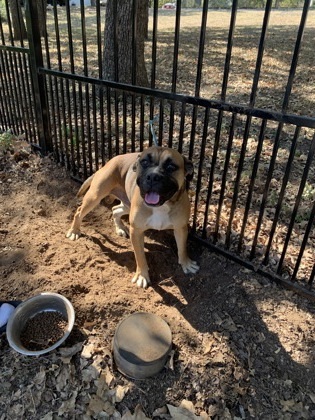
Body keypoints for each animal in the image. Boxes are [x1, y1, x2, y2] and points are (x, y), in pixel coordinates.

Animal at [66, 146, 200, 288]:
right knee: (79, 212)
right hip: (94, 197)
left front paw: (186, 263)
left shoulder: (180, 228)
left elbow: (182, 248)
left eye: (171, 166)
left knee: (115, 210)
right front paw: (142, 275)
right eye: (145, 162)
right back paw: (74, 231)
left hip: (127, 204)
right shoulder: (136, 231)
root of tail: (109, 162)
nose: (153, 176)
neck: (161, 206)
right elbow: (140, 256)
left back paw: (120, 228)